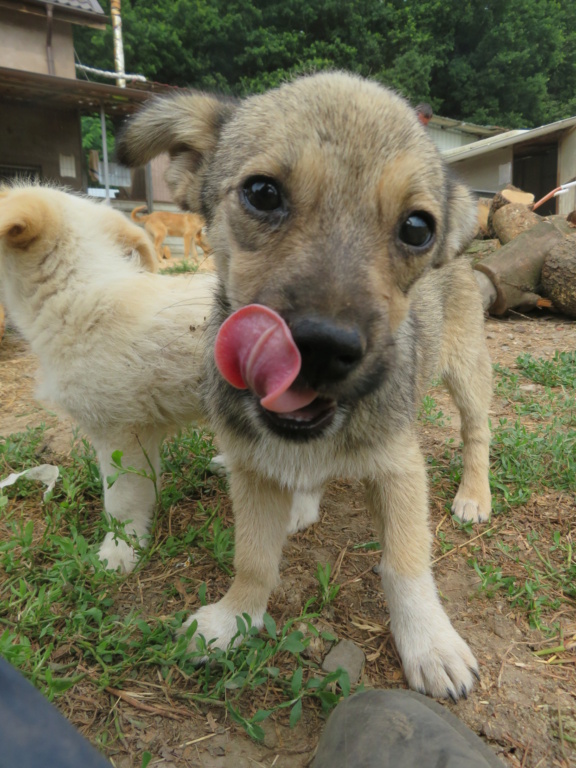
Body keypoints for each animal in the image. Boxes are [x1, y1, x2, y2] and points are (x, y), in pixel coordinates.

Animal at [119, 72, 492, 704]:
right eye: (262, 193)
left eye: (417, 228)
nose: (320, 348)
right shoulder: (250, 467)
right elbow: (253, 559)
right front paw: (234, 618)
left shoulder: (399, 467)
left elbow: (406, 562)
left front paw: (430, 644)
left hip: (466, 371)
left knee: (477, 434)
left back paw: (474, 494)